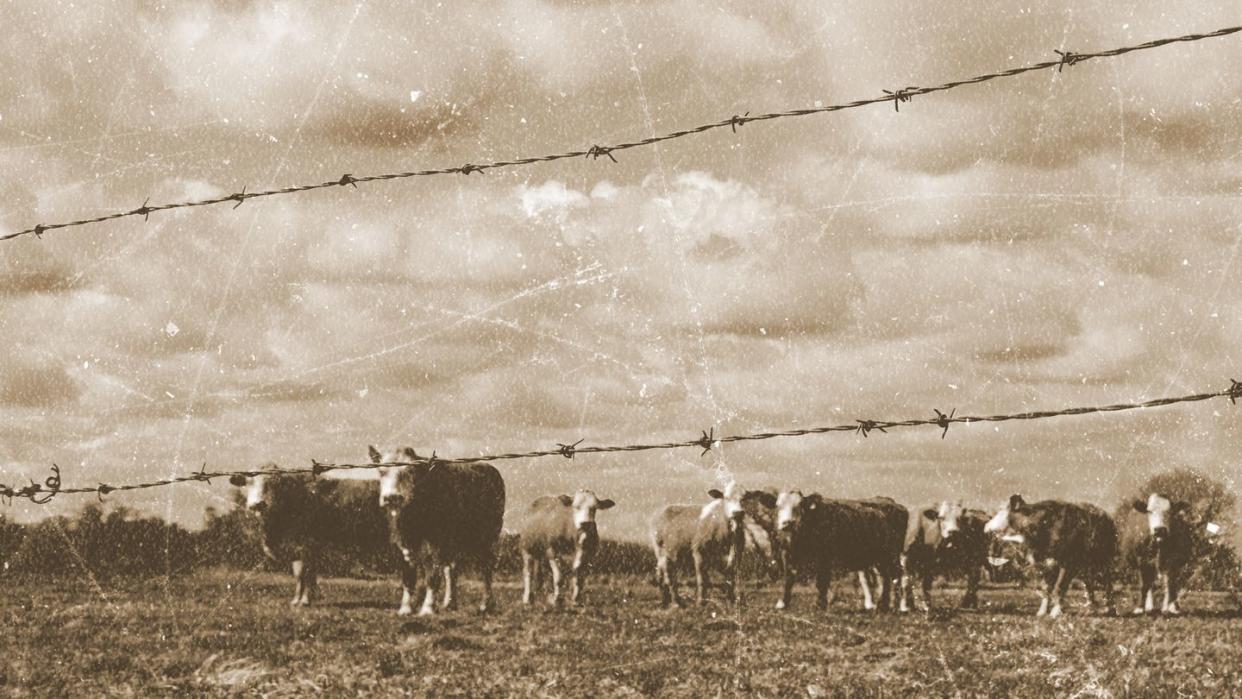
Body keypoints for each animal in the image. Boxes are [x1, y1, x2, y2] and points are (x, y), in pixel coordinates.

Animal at [228, 464, 389, 608]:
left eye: (276, 483)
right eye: (248, 482)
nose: (257, 504)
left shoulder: (308, 546)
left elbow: (306, 573)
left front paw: (305, 600)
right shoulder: (297, 548)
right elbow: (299, 574)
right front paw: (296, 600)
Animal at [367, 446, 504, 615]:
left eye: (411, 470)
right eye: (381, 471)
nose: (391, 497)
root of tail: (487, 467)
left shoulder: (436, 542)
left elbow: (432, 576)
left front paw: (428, 608)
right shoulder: (404, 542)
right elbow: (408, 576)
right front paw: (405, 608)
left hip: (486, 535)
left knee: (486, 566)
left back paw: (486, 604)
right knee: (451, 568)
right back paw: (450, 603)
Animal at [760, 491, 909, 613]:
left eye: (800, 506)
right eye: (778, 506)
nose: (788, 523)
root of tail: (891, 502)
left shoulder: (825, 558)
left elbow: (821, 582)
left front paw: (820, 605)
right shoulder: (788, 554)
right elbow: (788, 580)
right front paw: (783, 603)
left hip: (891, 554)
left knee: (897, 576)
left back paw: (899, 606)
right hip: (880, 559)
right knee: (886, 578)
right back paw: (883, 605)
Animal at [983, 494, 1122, 620]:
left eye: (1000, 509)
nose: (985, 526)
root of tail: (1105, 516)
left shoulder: (1067, 564)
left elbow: (1059, 587)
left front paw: (1056, 612)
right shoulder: (1044, 564)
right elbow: (1046, 588)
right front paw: (1042, 611)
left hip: (1102, 561)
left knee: (1108, 584)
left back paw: (1111, 609)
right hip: (1084, 566)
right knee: (1089, 584)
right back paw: (1090, 607)